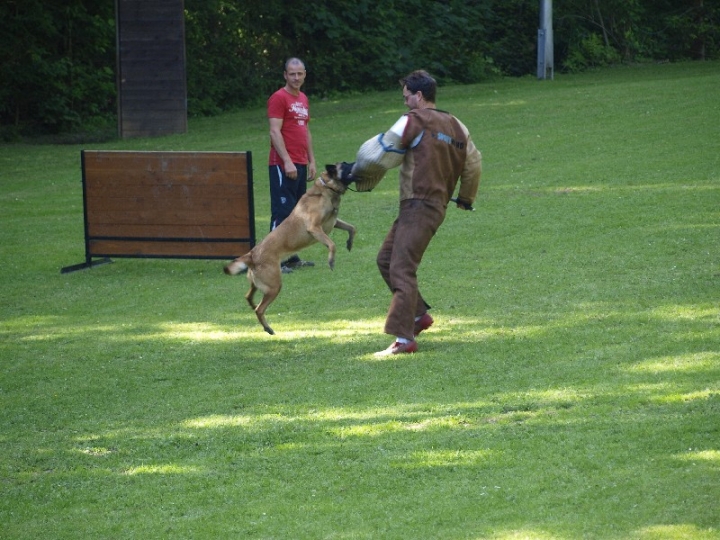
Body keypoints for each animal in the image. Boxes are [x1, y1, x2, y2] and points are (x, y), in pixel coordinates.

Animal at [224, 162, 356, 336]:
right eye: (346, 165)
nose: (358, 163)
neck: (326, 190)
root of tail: (252, 255)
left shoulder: (333, 223)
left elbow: (352, 228)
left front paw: (349, 243)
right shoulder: (314, 228)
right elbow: (332, 244)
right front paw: (331, 261)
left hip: (258, 284)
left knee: (248, 297)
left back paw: (255, 310)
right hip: (274, 286)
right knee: (260, 309)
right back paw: (268, 328)